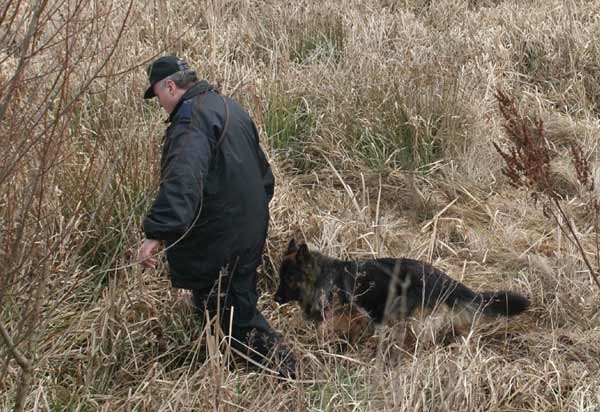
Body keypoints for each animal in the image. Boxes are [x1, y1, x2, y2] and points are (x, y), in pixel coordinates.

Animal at [276, 238, 528, 344]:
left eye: (289, 279)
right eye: (280, 278)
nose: (275, 298)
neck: (321, 278)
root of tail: (438, 276)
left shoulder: (355, 316)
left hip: (402, 313)